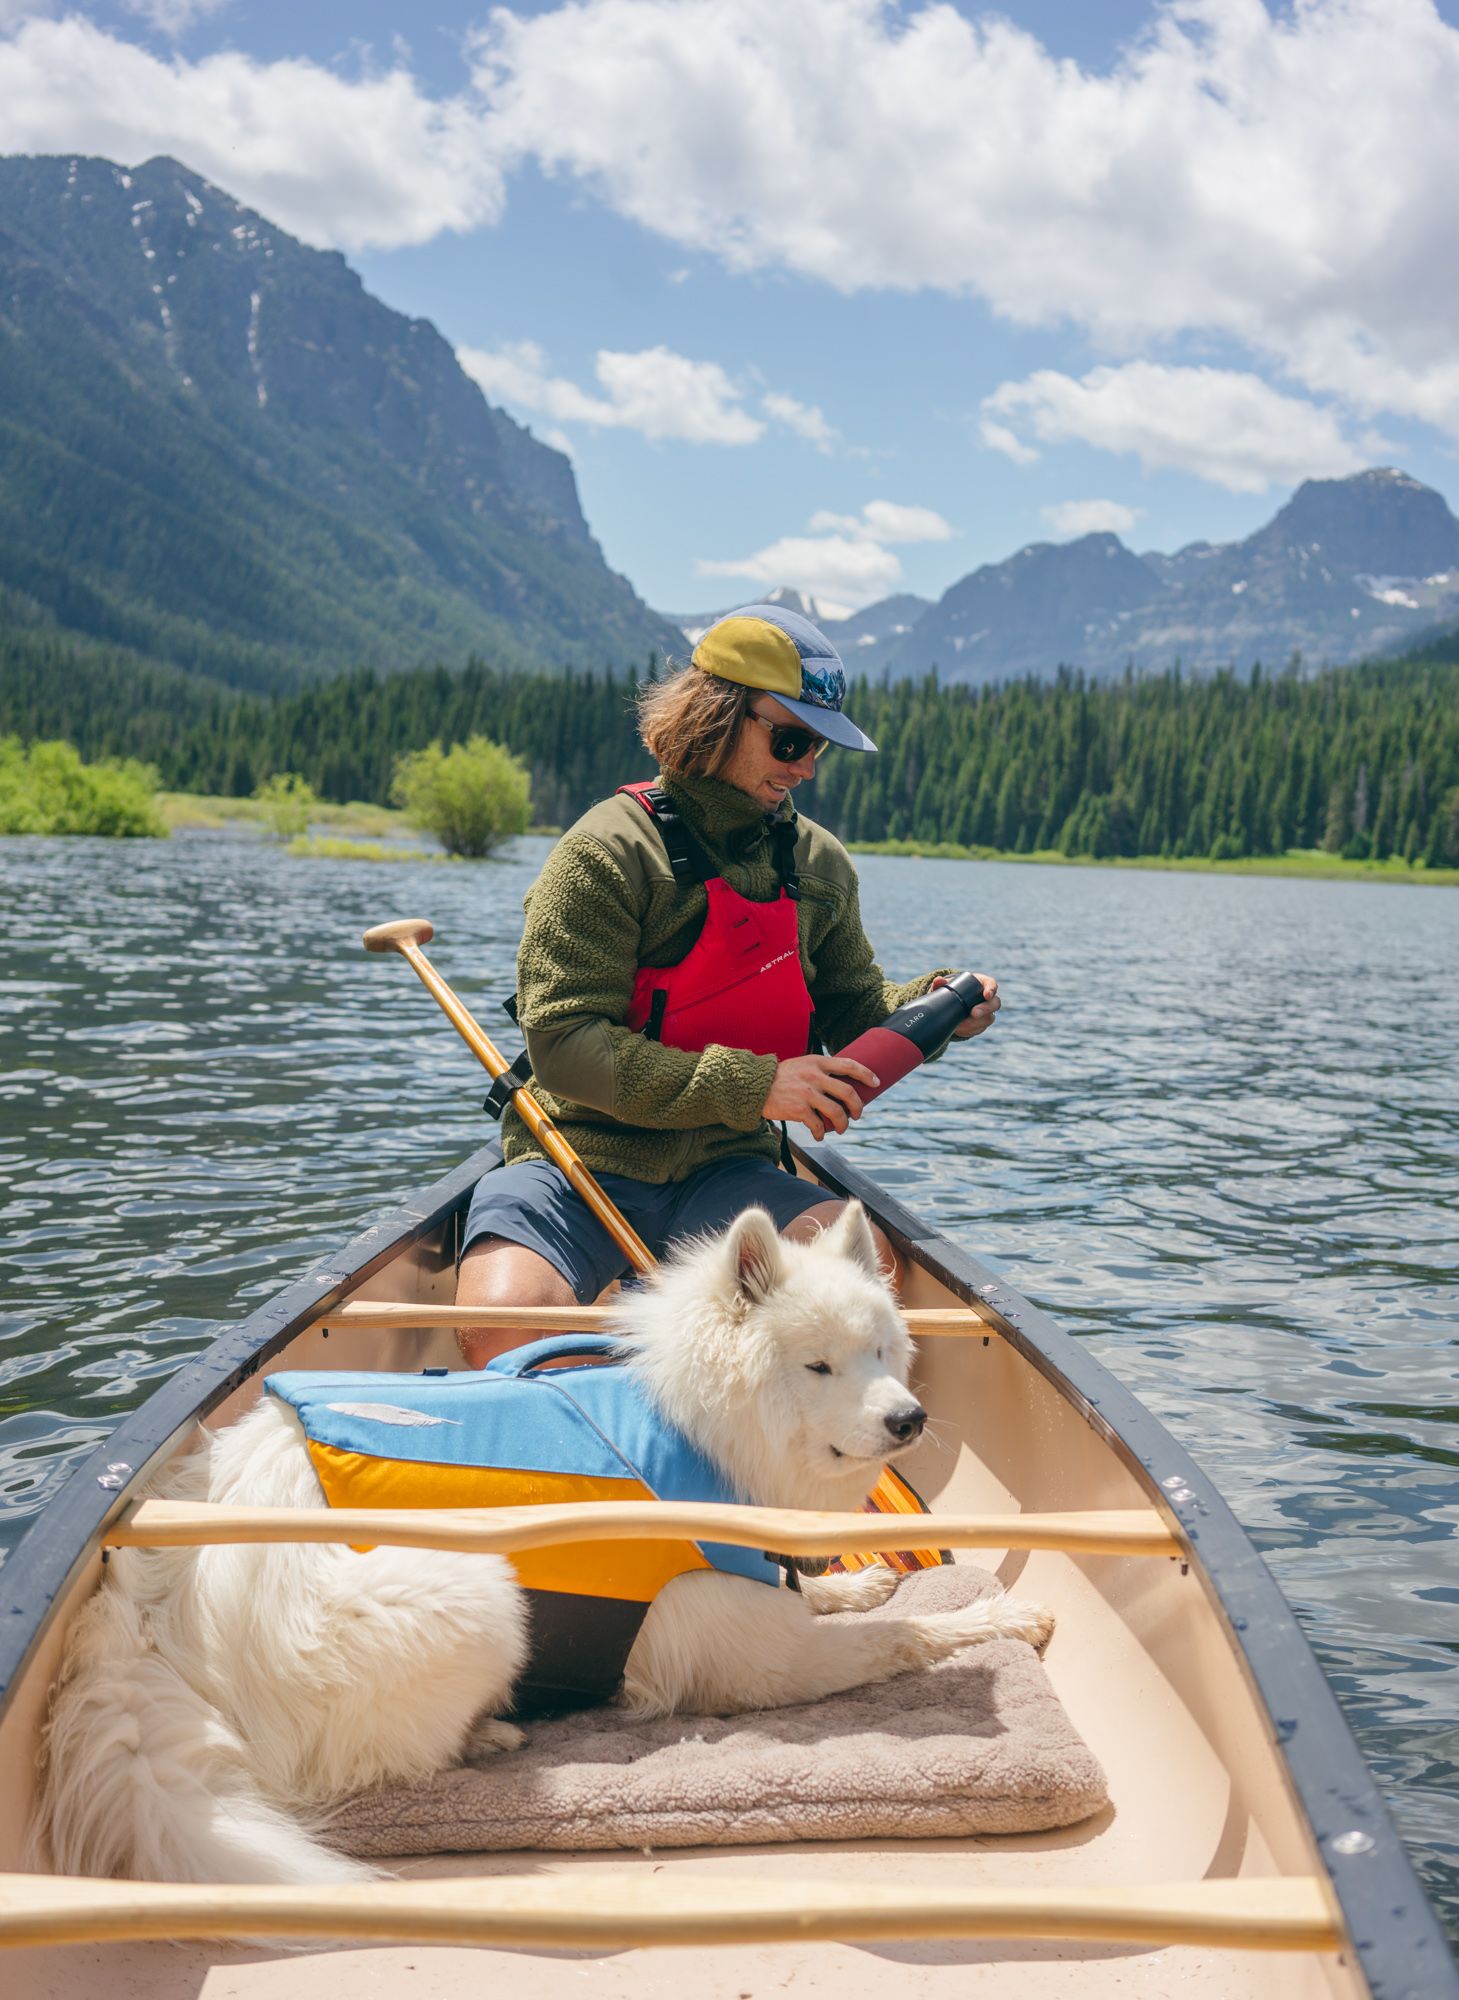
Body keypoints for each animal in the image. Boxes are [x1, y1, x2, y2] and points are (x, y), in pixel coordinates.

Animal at [33, 1200, 1055, 1888]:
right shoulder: (753, 1660)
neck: (697, 1429)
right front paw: (1005, 1617)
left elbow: (825, 1596)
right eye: (817, 1366)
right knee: (369, 1765)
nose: (909, 1419)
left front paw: (858, 1584)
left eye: (883, 1349)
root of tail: (155, 1618)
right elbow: (898, 1639)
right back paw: (489, 1731)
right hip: (478, 1593)